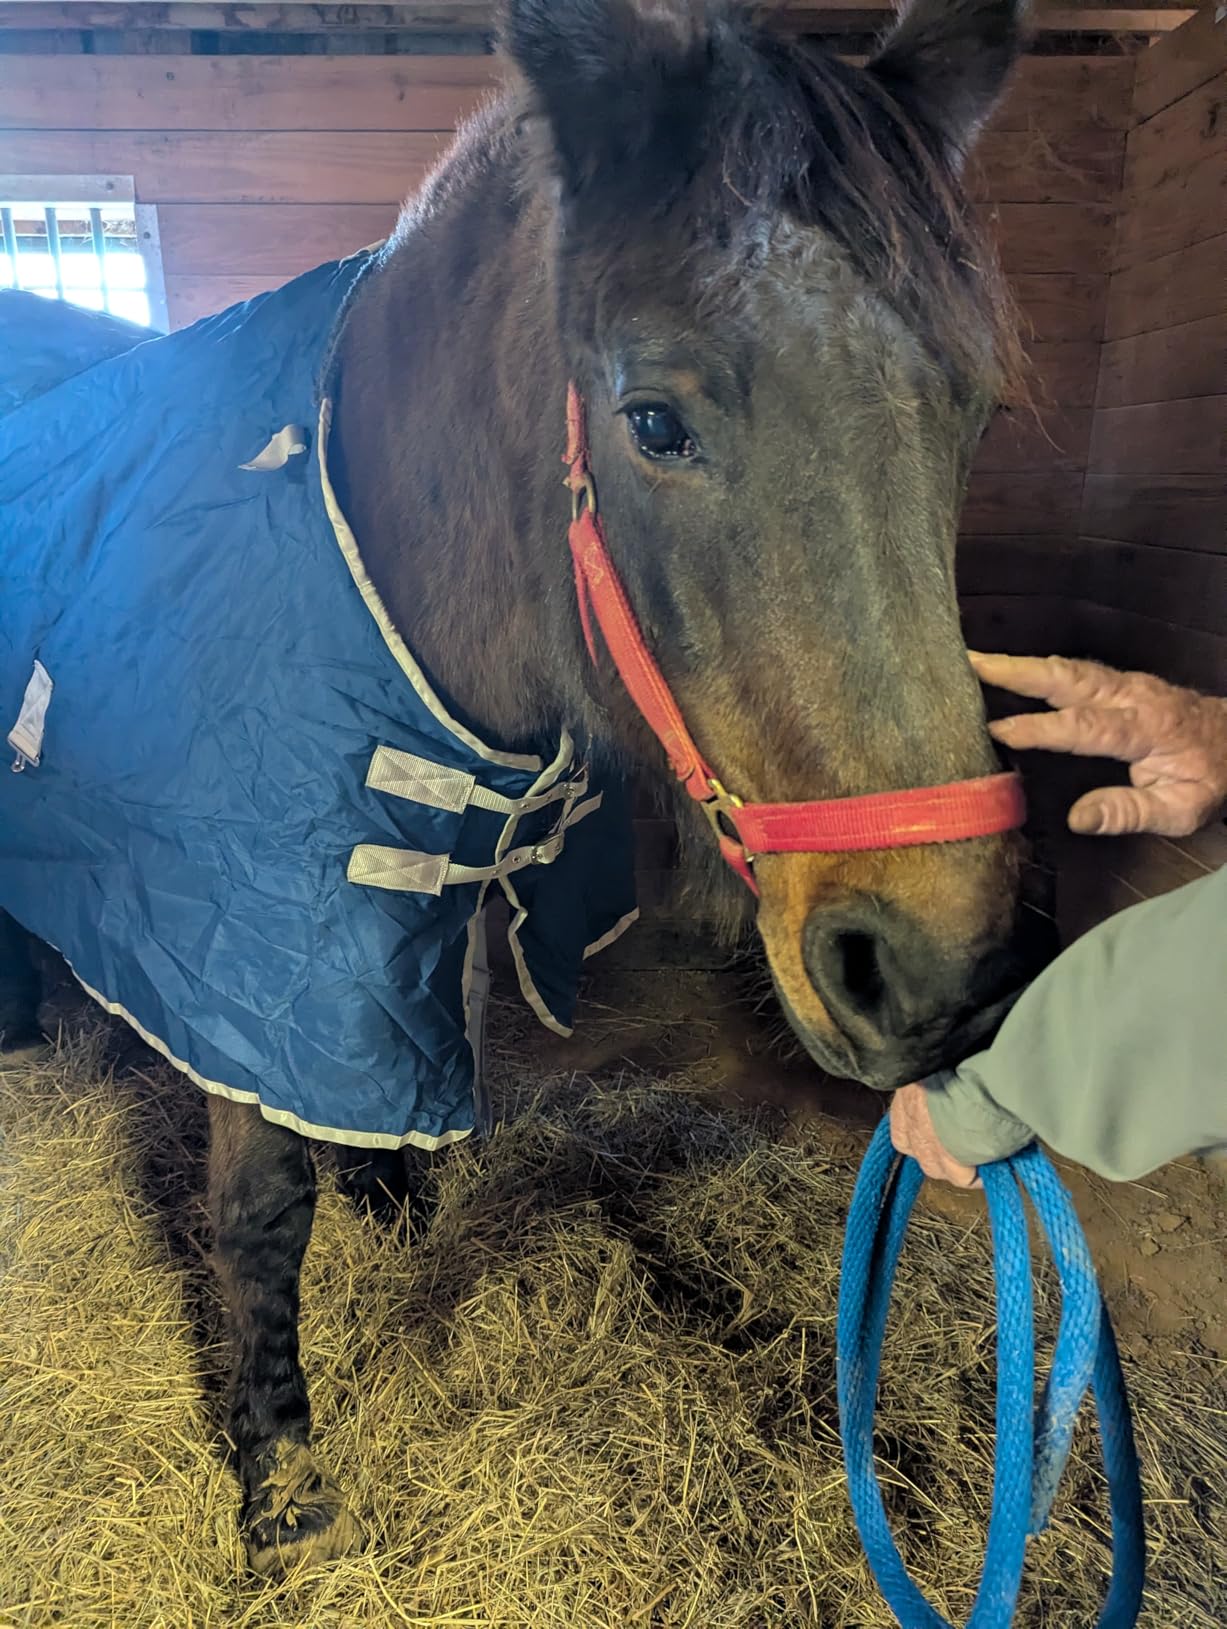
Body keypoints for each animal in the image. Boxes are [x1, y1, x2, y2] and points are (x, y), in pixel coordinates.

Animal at [0, 0, 1043, 1575]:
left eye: (970, 414)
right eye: (653, 420)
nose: (932, 973)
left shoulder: (416, 892)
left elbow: (421, 1042)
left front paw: (390, 1184)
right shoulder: (239, 941)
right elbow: (258, 1208)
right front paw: (277, 1470)